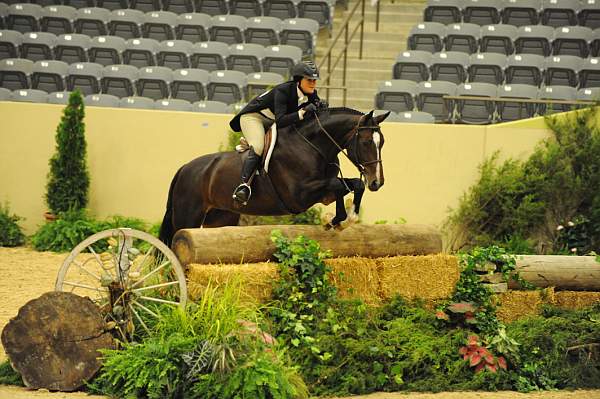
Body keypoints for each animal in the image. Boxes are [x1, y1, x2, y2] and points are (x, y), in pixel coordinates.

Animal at [158, 108, 390, 248]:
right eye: (366, 142)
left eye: (383, 142)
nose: (377, 182)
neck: (313, 146)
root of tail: (184, 168)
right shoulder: (299, 195)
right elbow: (340, 185)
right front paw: (336, 220)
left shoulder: (324, 192)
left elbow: (353, 185)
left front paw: (342, 220)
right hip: (188, 216)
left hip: (220, 218)